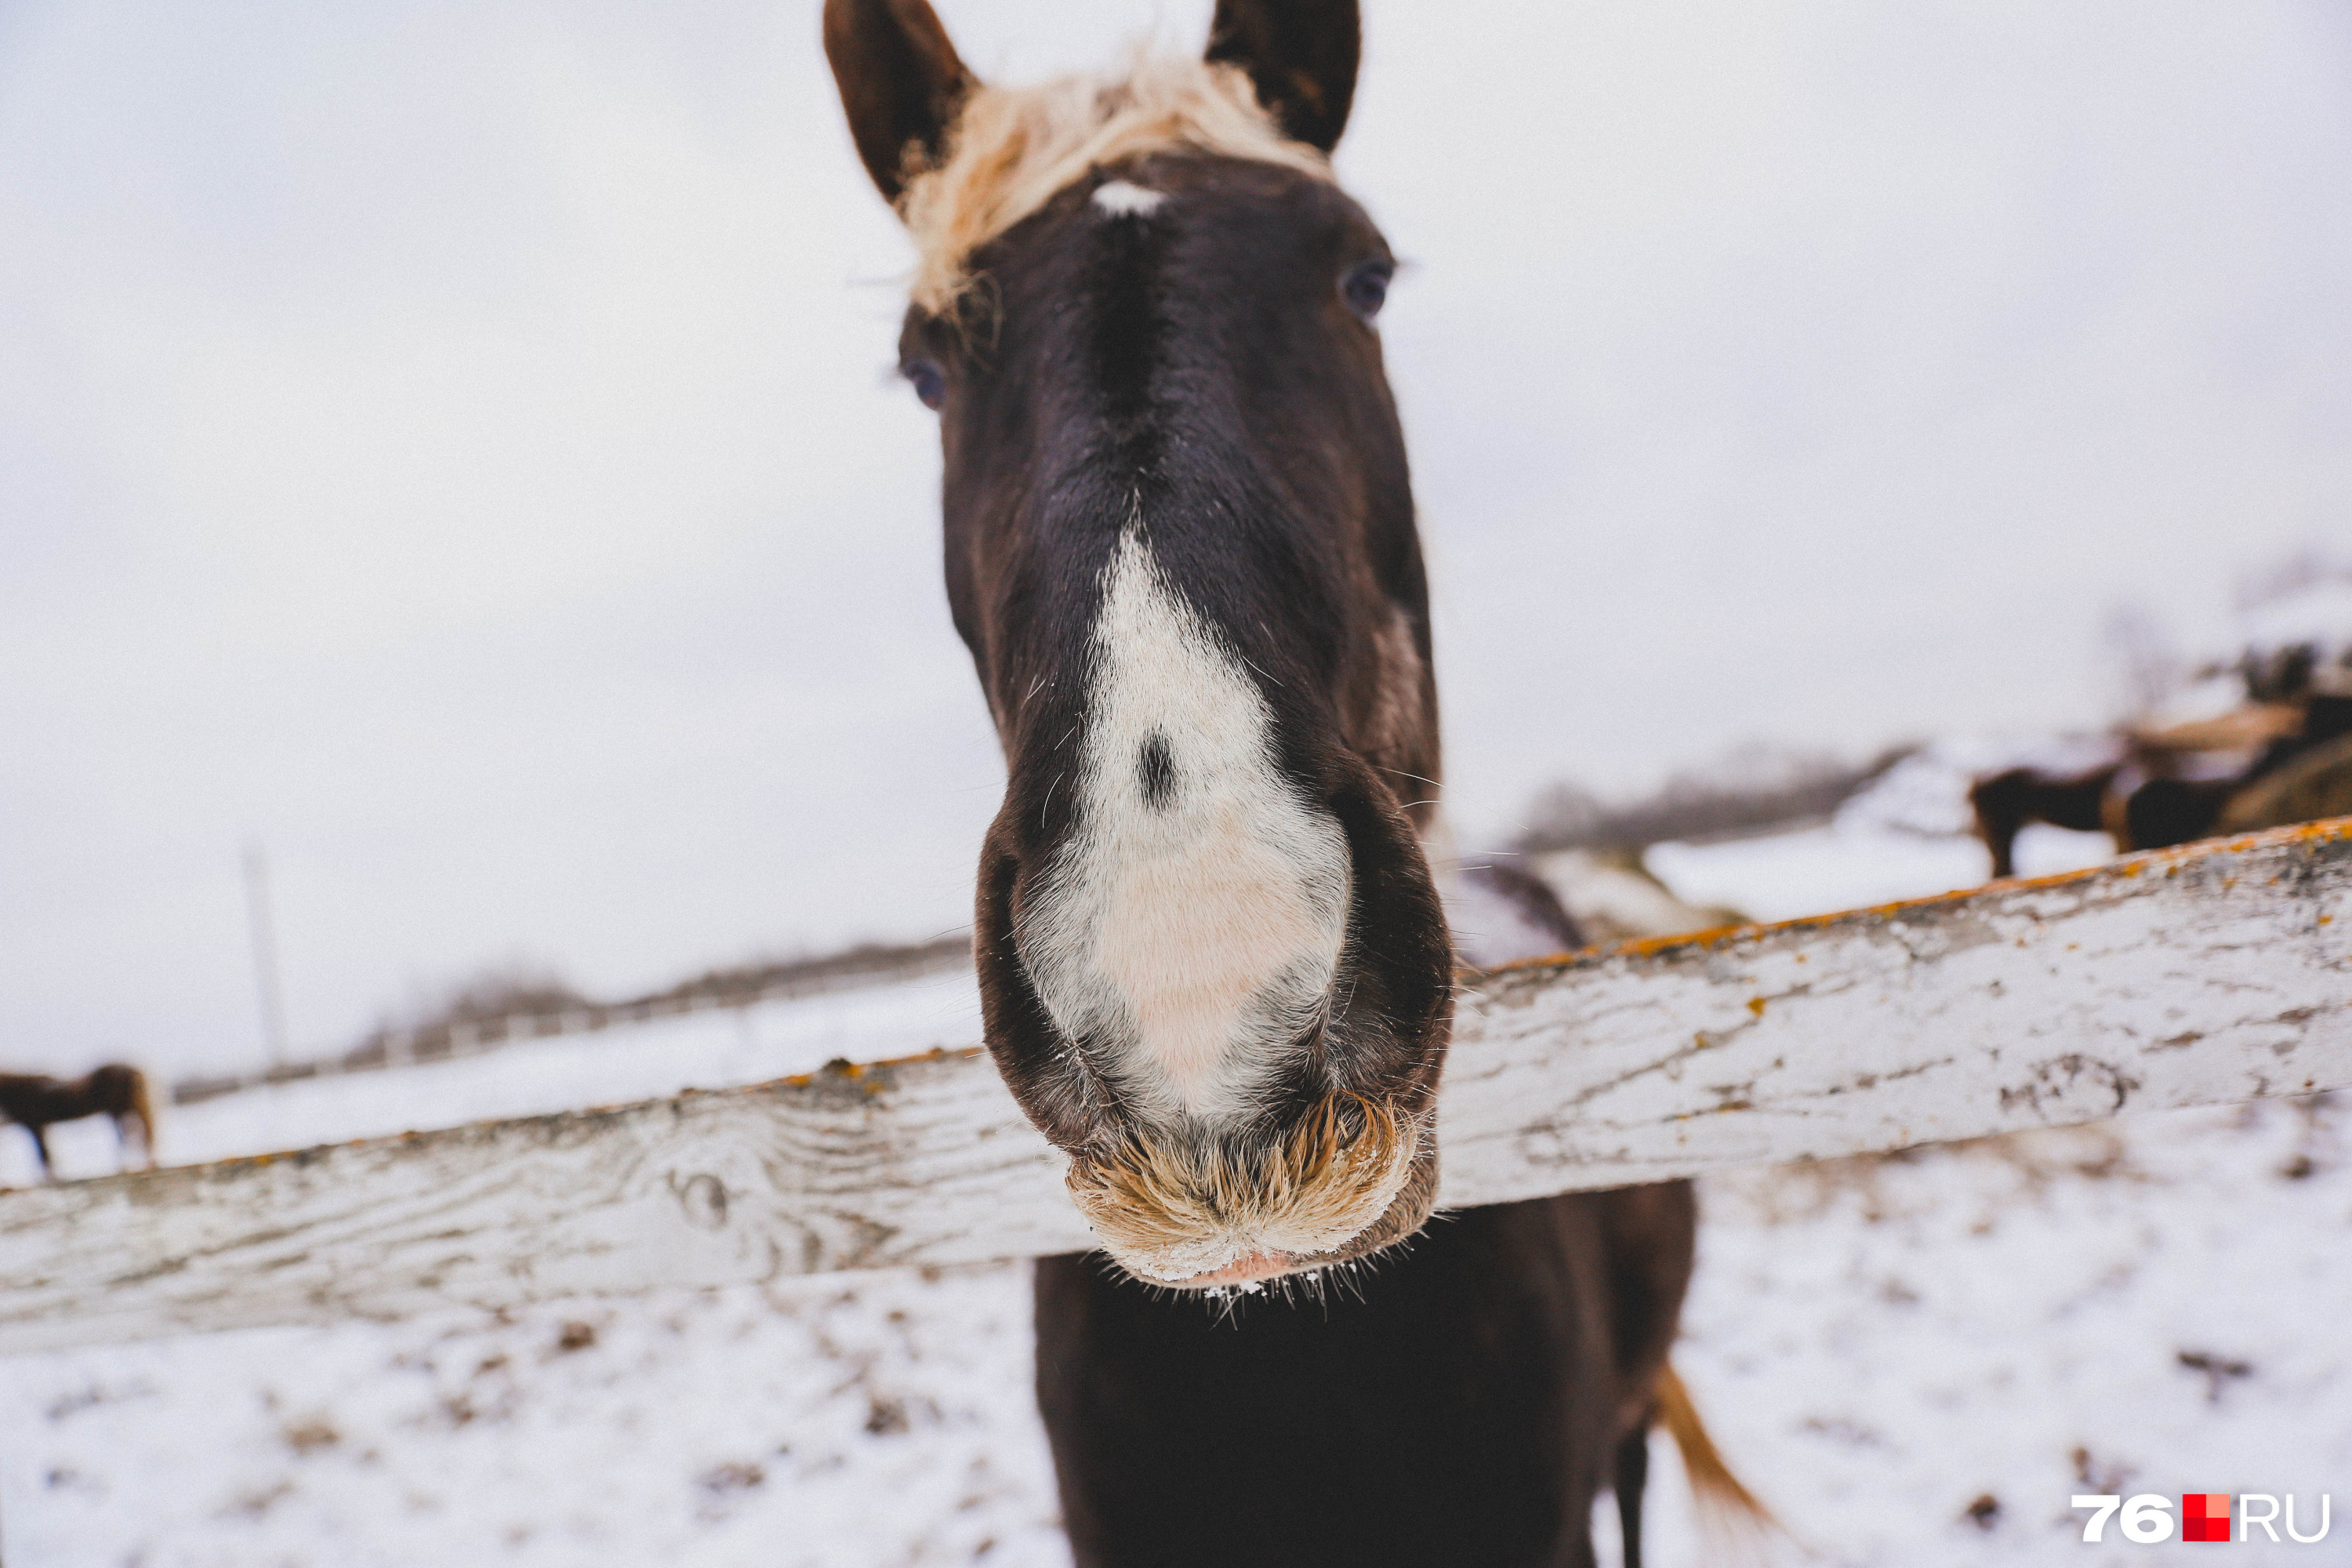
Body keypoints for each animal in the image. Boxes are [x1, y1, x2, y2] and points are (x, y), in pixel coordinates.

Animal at [0, 1067, 156, 1175]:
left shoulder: (34, 1124)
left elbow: (44, 1154)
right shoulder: (39, 1126)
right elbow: (46, 1154)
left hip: (121, 1109)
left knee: (132, 1136)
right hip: (125, 1109)